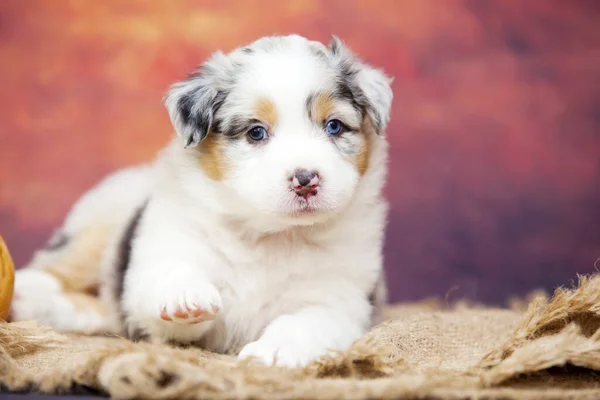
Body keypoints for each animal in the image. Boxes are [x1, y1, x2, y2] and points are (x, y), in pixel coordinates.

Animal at [11, 35, 394, 368]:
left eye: (334, 126)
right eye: (256, 132)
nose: (306, 180)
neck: (270, 234)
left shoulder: (342, 297)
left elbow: (307, 322)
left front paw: (274, 352)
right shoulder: (166, 249)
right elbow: (169, 277)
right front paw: (183, 294)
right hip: (101, 219)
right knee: (59, 268)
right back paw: (25, 291)